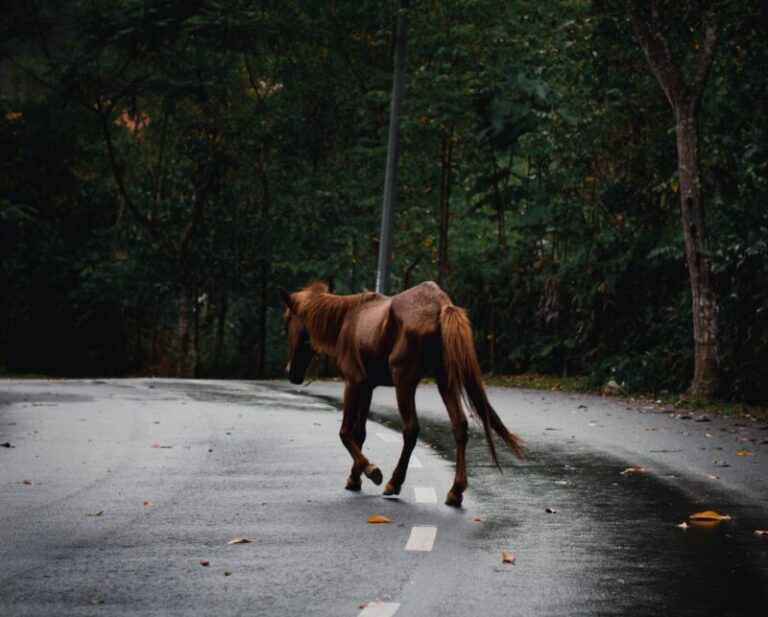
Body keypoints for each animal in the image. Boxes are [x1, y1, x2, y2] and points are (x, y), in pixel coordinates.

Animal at [280, 280, 524, 506]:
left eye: (286, 323)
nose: (291, 373)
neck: (346, 319)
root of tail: (441, 305)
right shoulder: (367, 387)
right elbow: (360, 433)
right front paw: (355, 477)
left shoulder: (353, 382)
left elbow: (345, 432)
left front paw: (371, 470)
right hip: (445, 380)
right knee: (460, 425)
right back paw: (455, 491)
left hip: (404, 381)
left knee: (411, 429)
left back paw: (394, 482)